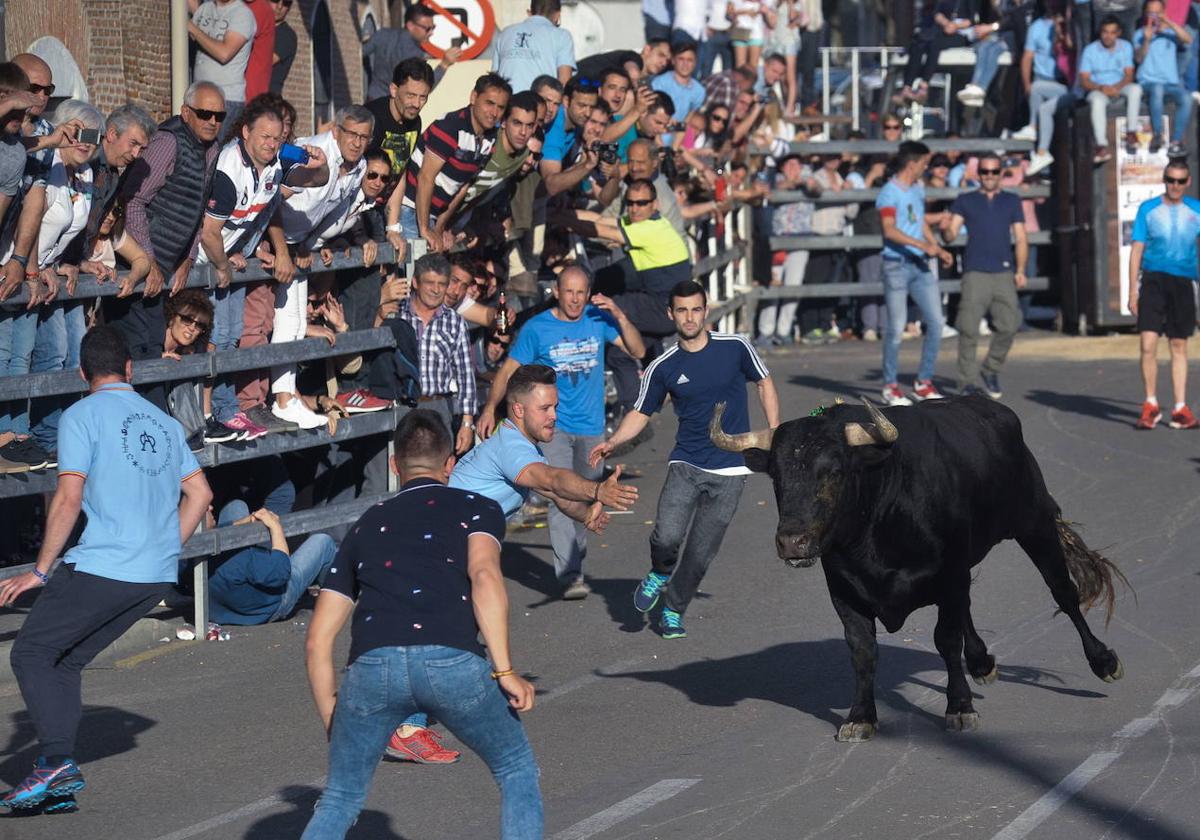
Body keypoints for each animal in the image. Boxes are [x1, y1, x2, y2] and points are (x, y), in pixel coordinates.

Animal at [705, 396, 1128, 739]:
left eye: (835, 470)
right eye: (776, 475)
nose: (792, 541)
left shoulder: (951, 572)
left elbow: (946, 640)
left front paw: (960, 708)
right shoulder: (844, 589)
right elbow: (863, 650)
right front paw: (860, 717)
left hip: (1034, 523)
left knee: (1063, 593)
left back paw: (1104, 662)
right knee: (968, 610)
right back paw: (981, 663)